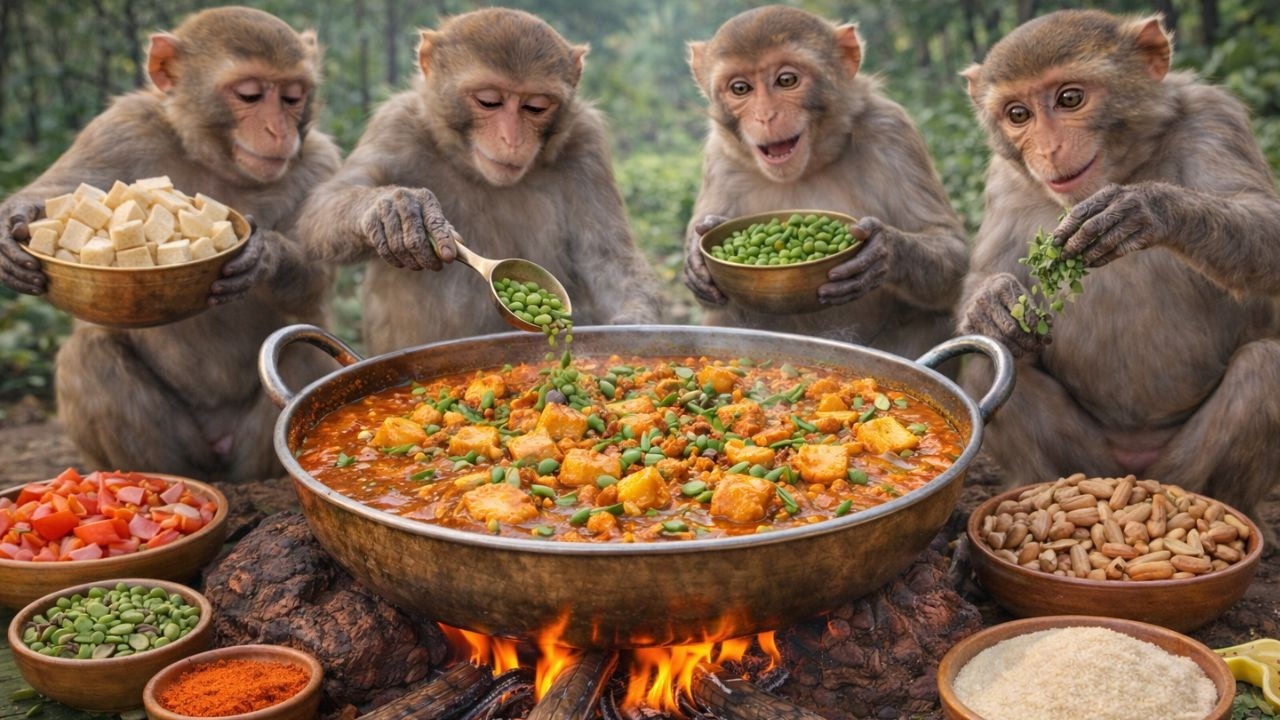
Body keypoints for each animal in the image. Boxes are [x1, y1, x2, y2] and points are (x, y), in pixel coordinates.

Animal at [0, 7, 341, 482]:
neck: (216, 163)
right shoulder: (119, 129)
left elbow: (313, 285)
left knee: (303, 354)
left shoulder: (320, 162)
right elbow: (54, 188)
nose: (278, 130)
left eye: (293, 97)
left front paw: (261, 255)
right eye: (250, 95)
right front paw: (15, 224)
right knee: (90, 354)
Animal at [297, 8, 661, 355]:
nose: (511, 139)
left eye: (535, 106)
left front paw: (632, 326)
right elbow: (321, 211)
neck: (473, 168)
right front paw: (398, 212)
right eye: (489, 101)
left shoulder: (587, 142)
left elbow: (607, 258)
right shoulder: (396, 124)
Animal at [681, 5, 967, 363]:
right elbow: (710, 294)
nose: (765, 116)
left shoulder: (891, 131)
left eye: (786, 80)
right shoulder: (720, 156)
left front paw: (881, 250)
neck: (809, 165)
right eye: (740, 89)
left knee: (933, 316)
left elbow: (950, 251)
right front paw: (697, 257)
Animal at [958, 10, 1280, 537]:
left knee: (1264, 368)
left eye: (1069, 98)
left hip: (1174, 467)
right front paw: (992, 303)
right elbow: (986, 277)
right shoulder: (1004, 177)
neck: (1127, 166)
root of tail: (1130, 464)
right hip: (1088, 457)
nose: (1049, 149)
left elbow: (1267, 228)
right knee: (990, 363)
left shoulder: (1215, 119)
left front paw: (1143, 209)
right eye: (1018, 115)